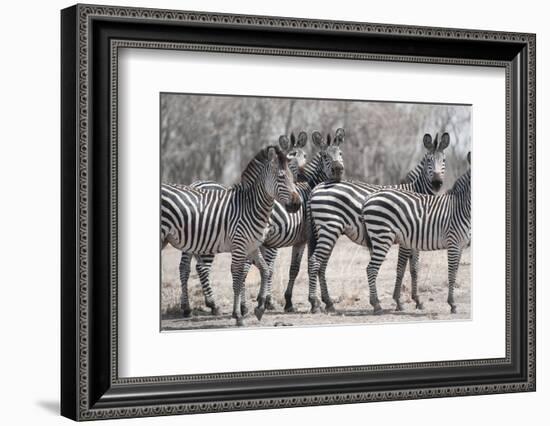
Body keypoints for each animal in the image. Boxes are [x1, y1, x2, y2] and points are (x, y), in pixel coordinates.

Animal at [162, 144, 304, 326]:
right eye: (281, 177)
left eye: (293, 177)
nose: (297, 204)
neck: (250, 206)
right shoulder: (241, 245)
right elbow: (238, 277)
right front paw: (239, 314)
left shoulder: (253, 246)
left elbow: (265, 271)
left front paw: (259, 307)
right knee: (200, 268)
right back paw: (211, 306)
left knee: (185, 268)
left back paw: (188, 309)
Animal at [179, 129, 344, 316]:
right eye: (324, 156)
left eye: (340, 153)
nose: (338, 170)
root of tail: (196, 184)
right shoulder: (308, 237)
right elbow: (312, 266)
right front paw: (318, 302)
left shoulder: (290, 240)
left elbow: (288, 269)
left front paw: (279, 301)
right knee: (205, 268)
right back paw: (218, 305)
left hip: (193, 238)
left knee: (185, 268)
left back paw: (188, 307)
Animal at [308, 132, 450, 312]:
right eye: (428, 161)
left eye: (444, 160)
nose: (437, 183)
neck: (416, 191)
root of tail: (317, 187)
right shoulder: (406, 237)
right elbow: (401, 268)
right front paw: (399, 301)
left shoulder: (415, 237)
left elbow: (414, 268)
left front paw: (417, 300)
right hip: (329, 229)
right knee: (315, 262)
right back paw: (315, 303)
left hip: (327, 231)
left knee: (322, 264)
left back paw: (328, 303)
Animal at [362, 151, 474, 312]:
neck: (460, 208)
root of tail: (369, 197)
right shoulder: (453, 242)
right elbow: (452, 273)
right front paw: (452, 304)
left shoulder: (461, 246)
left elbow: (456, 272)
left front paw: (452, 303)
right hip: (382, 236)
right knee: (371, 269)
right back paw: (376, 305)